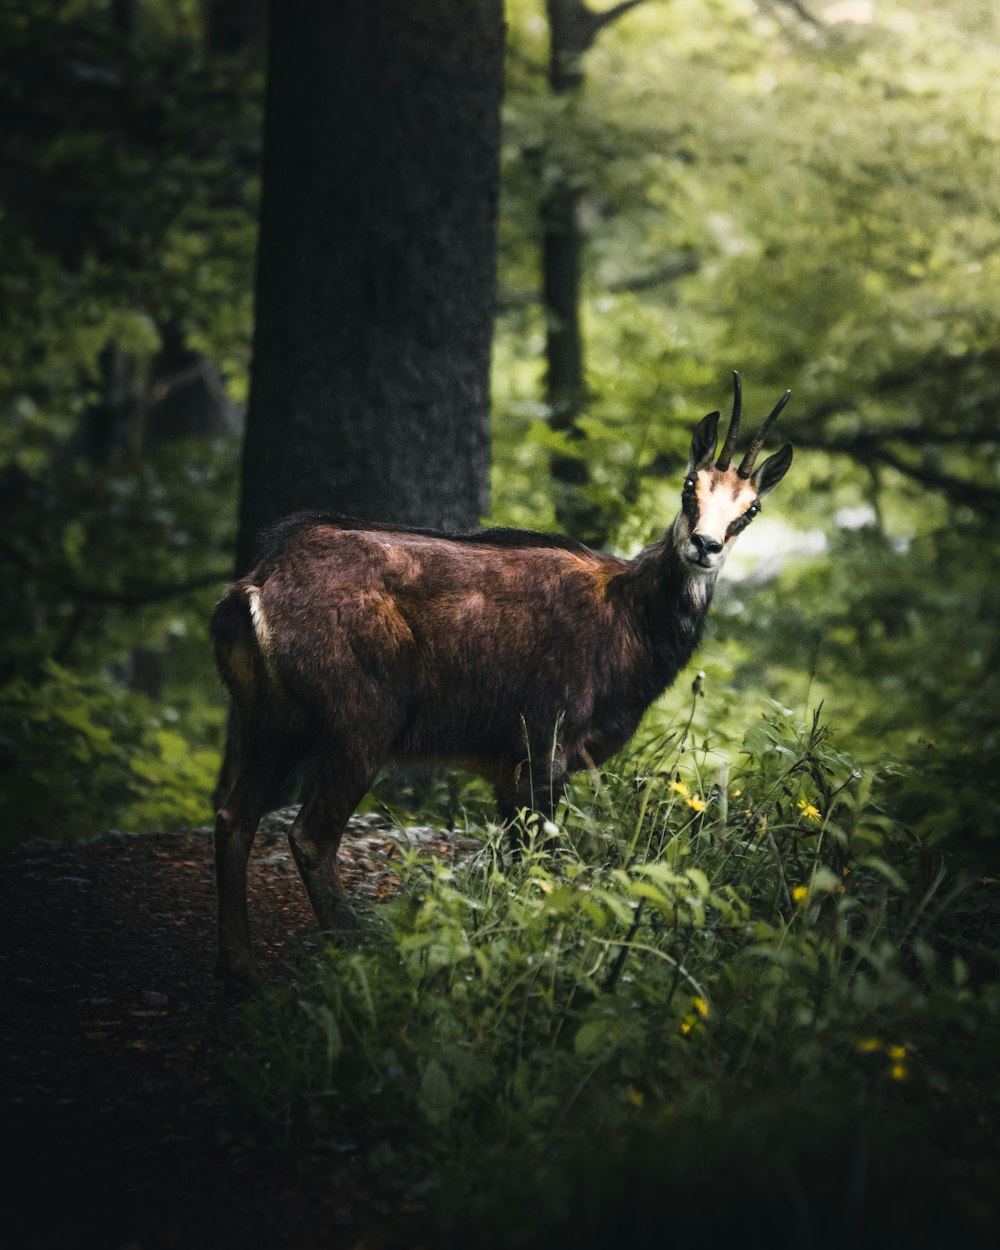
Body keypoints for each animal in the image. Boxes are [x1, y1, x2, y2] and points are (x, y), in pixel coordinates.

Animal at [215, 370, 795, 985]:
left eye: (751, 509)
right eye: (690, 486)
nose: (706, 546)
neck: (631, 623)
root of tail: (254, 588)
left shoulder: (506, 765)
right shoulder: (544, 744)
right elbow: (534, 862)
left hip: (271, 722)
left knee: (234, 818)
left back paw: (240, 970)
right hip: (359, 725)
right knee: (309, 837)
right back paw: (352, 954)